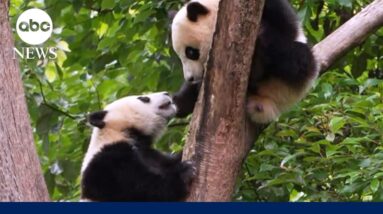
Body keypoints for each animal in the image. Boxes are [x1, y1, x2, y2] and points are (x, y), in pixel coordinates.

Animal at [171, 0, 318, 123]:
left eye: (191, 52)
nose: (190, 78)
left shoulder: (277, 12)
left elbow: (282, 31)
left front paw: (262, 35)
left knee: (299, 59)